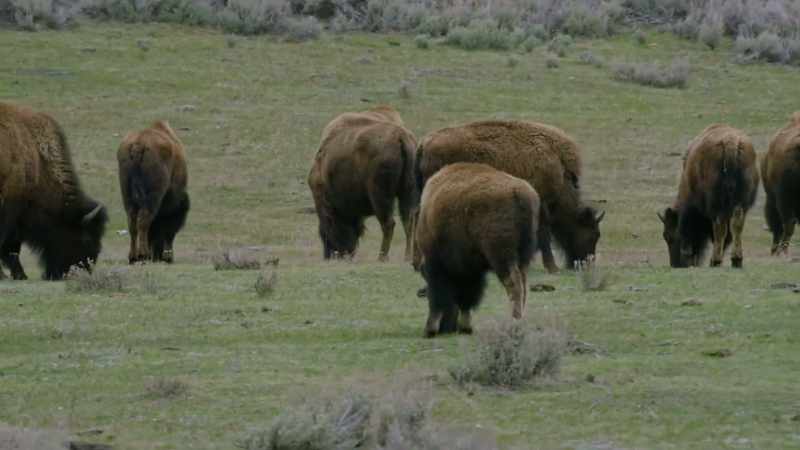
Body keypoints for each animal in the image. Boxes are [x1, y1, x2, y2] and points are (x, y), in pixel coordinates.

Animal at [118, 121, 190, 264]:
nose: (158, 257)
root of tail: (139, 145)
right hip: (152, 197)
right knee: (144, 220)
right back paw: (143, 254)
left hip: (127, 196)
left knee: (132, 222)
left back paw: (133, 257)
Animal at [308, 106, 417, 261]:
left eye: (325, 232)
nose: (329, 255)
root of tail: (401, 137)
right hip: (407, 192)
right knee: (408, 222)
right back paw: (407, 256)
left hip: (380, 196)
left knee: (389, 224)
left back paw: (382, 257)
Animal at [413, 163, 540, 337]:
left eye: (424, 274)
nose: (448, 328)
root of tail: (519, 193)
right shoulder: (471, 269)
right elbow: (468, 297)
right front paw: (466, 327)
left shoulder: (437, 264)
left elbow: (439, 297)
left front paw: (429, 329)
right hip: (522, 257)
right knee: (524, 285)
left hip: (501, 257)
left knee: (514, 285)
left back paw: (514, 322)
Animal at [415, 119, 603, 272]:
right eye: (593, 234)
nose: (585, 265)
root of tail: (424, 143)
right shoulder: (541, 204)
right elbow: (543, 234)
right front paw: (552, 267)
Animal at [659, 124, 759, 268]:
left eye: (668, 236)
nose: (676, 264)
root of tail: (730, 143)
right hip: (741, 202)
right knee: (736, 225)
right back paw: (736, 260)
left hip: (717, 204)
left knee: (720, 227)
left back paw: (715, 261)